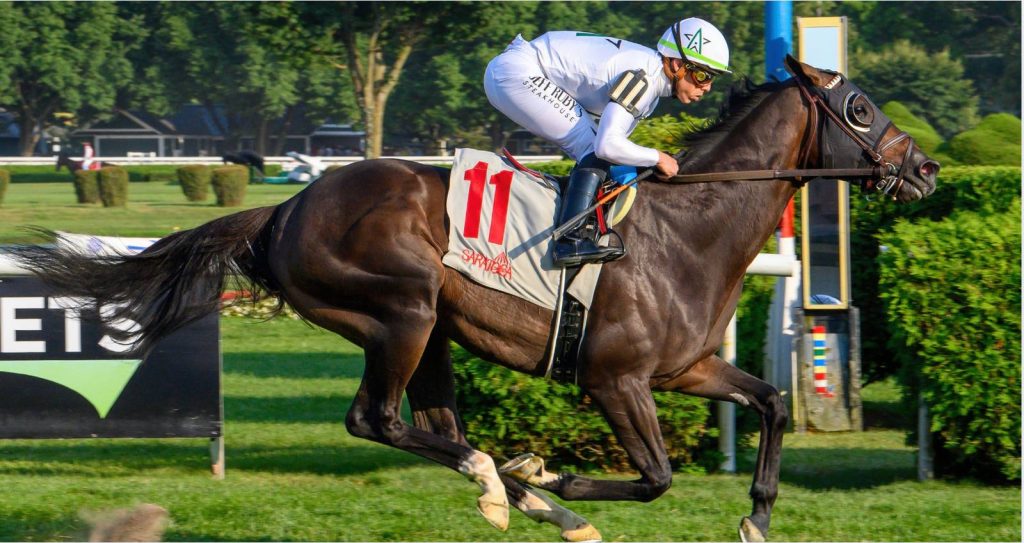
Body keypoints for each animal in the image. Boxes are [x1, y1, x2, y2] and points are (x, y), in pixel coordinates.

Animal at [12, 57, 937, 542]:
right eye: (859, 107)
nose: (924, 167)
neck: (689, 230)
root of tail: (285, 207)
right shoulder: (617, 380)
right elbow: (655, 476)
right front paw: (549, 472)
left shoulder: (687, 369)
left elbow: (774, 399)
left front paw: (756, 516)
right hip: (405, 308)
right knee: (376, 419)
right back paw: (508, 481)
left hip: (433, 333)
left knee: (429, 422)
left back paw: (511, 487)